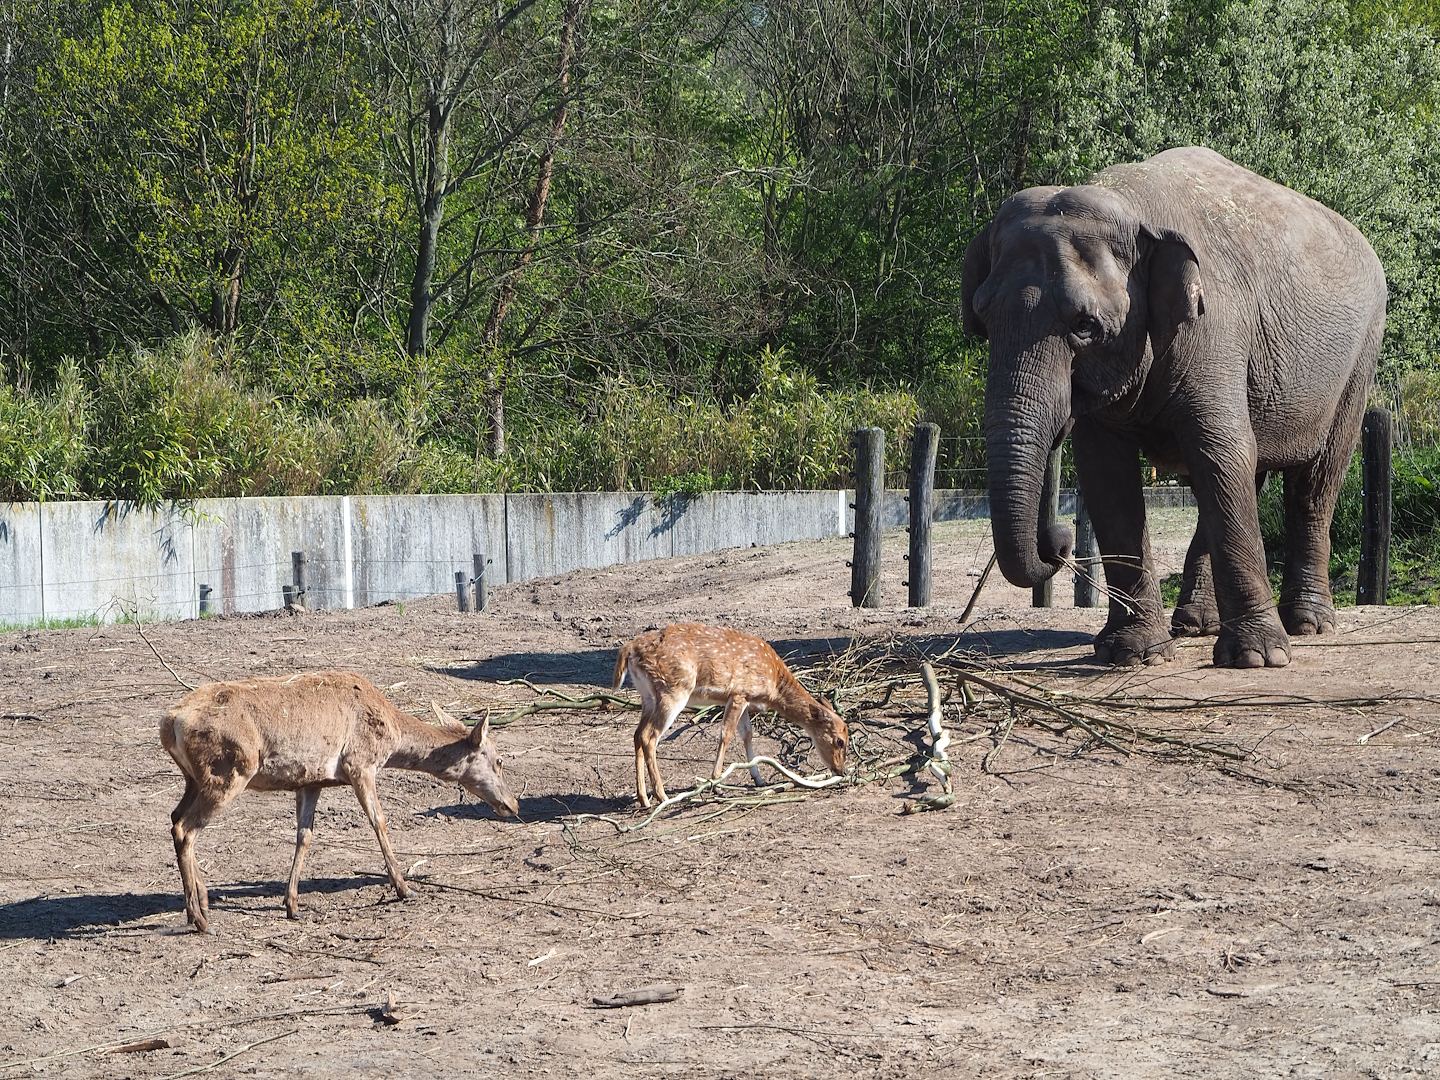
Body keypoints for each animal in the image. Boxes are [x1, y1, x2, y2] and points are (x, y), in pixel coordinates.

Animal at [160, 671, 519, 933]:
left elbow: (305, 835)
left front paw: (292, 905)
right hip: (229, 770)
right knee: (186, 829)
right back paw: (199, 919)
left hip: (194, 778)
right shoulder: (360, 763)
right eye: (499, 760)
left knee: (175, 817)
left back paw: (204, 900)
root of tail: (169, 722)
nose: (512, 804)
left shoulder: (311, 780)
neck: (392, 736)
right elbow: (379, 821)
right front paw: (404, 888)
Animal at [612, 623, 849, 808]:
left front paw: (759, 779)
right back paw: (662, 796)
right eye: (840, 740)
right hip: (673, 690)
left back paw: (644, 798)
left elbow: (747, 734)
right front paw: (716, 784)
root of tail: (629, 649)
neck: (773, 686)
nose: (841, 770)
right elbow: (726, 733)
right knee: (649, 737)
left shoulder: (744, 699)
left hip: (647, 695)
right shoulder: (739, 693)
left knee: (637, 734)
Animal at [962, 146, 1386, 668]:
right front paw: (1131, 653)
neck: (1130, 206)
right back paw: (1195, 625)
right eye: (982, 319)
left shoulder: (1216, 330)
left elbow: (1220, 453)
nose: (1058, 541)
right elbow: (1108, 475)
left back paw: (1307, 625)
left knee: (1313, 480)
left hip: (1359, 359)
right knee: (1240, 476)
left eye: (1085, 326)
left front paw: (1257, 659)